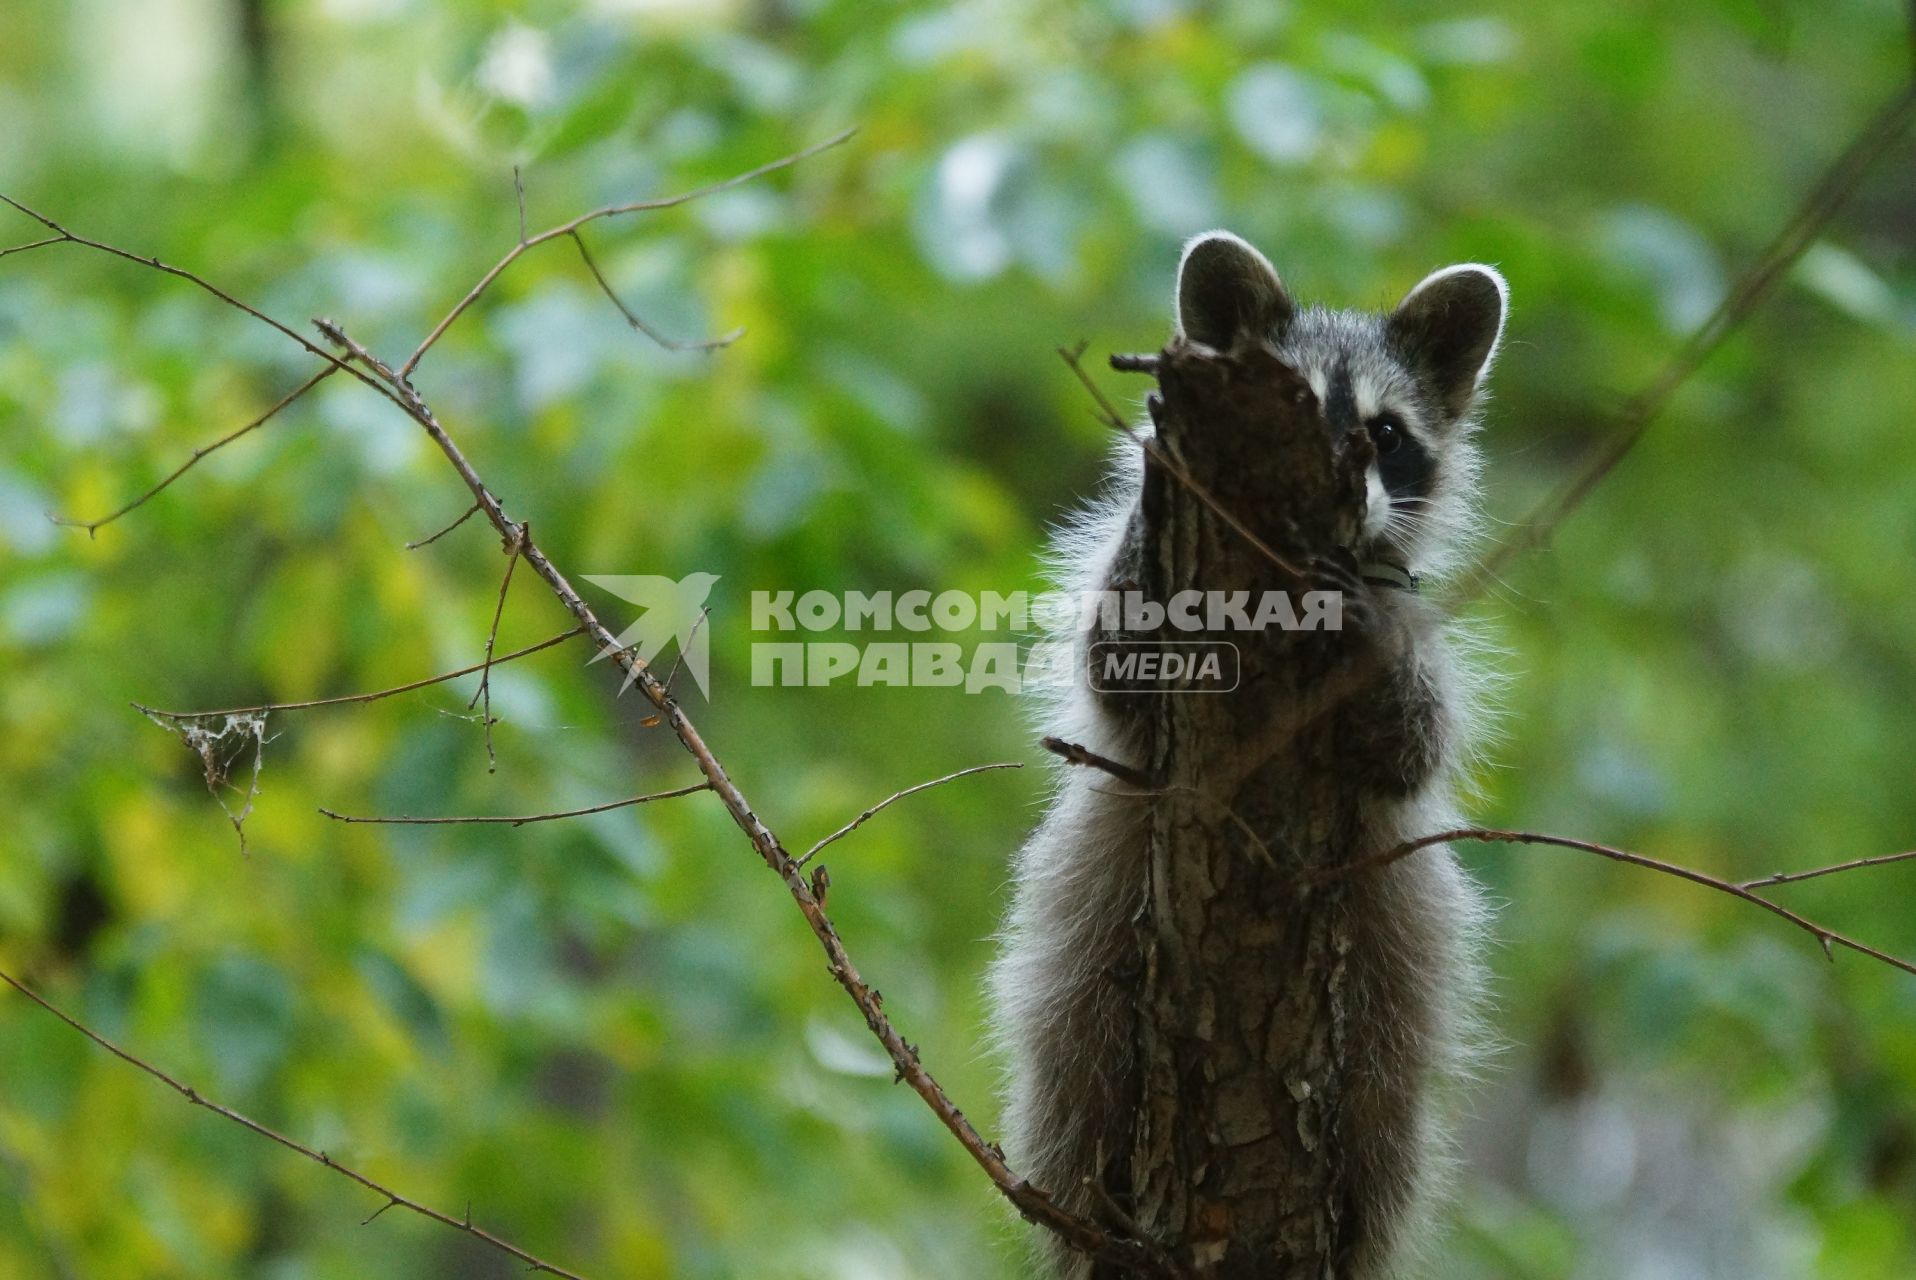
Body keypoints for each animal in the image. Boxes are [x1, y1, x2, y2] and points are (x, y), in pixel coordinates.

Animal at [988, 232, 1509, 1280]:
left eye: (1387, 435)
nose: (1351, 494)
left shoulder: (1414, 620)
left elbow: (1414, 749)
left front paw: (1368, 649)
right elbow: (1111, 665)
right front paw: (1146, 530)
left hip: (1400, 950)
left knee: (1386, 1117)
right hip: (1081, 925)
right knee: (1069, 1069)